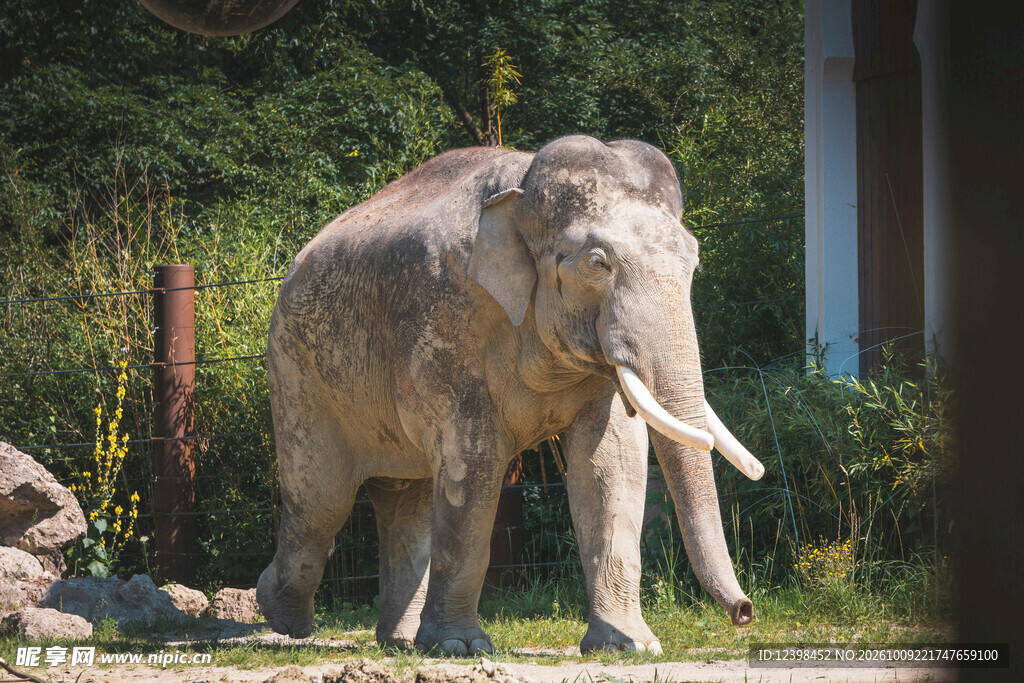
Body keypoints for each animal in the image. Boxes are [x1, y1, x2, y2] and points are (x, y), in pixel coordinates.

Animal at [256, 135, 766, 655]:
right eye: (597, 264)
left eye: (694, 260)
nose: (746, 612)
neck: (519, 191)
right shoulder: (446, 322)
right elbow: (473, 461)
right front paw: (459, 648)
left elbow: (612, 460)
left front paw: (630, 647)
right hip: (297, 374)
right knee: (322, 499)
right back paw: (281, 617)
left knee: (403, 498)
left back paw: (397, 642)